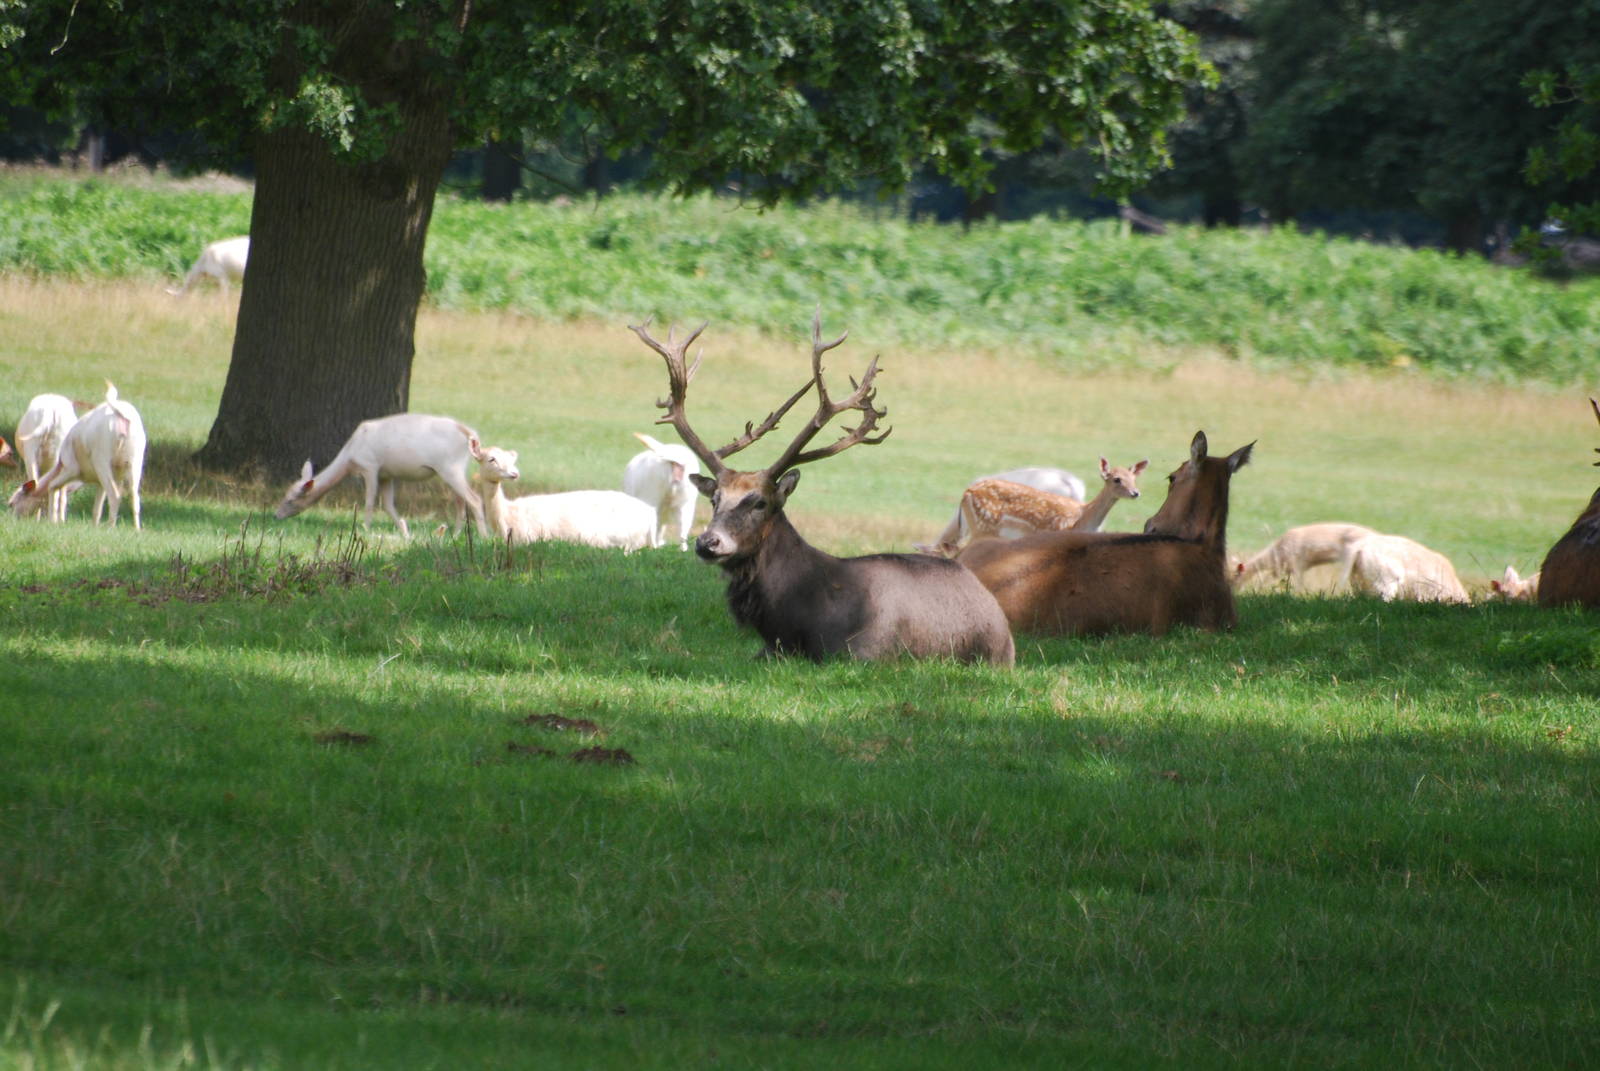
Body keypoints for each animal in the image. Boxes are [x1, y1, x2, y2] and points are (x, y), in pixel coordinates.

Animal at [628, 311, 1014, 665]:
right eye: (715, 499)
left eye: (760, 502)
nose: (708, 542)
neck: (797, 622)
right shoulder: (767, 650)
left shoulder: (867, 652)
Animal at [931, 457, 1147, 550]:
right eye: (1116, 479)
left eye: (1134, 478)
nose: (1136, 493)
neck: (1083, 519)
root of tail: (966, 493)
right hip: (982, 527)